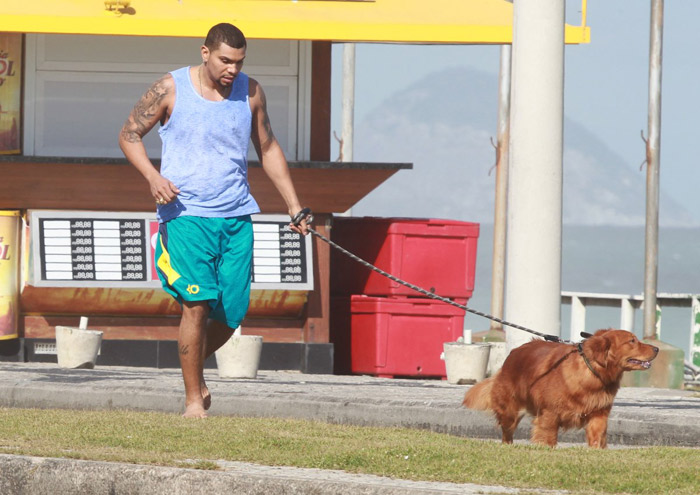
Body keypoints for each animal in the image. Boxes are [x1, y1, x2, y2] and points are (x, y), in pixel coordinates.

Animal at [464, 330, 656, 450]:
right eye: (632, 341)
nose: (656, 348)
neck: (593, 376)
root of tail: (513, 353)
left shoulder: (599, 414)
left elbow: (597, 437)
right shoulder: (549, 414)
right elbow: (548, 437)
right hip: (509, 411)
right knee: (507, 432)